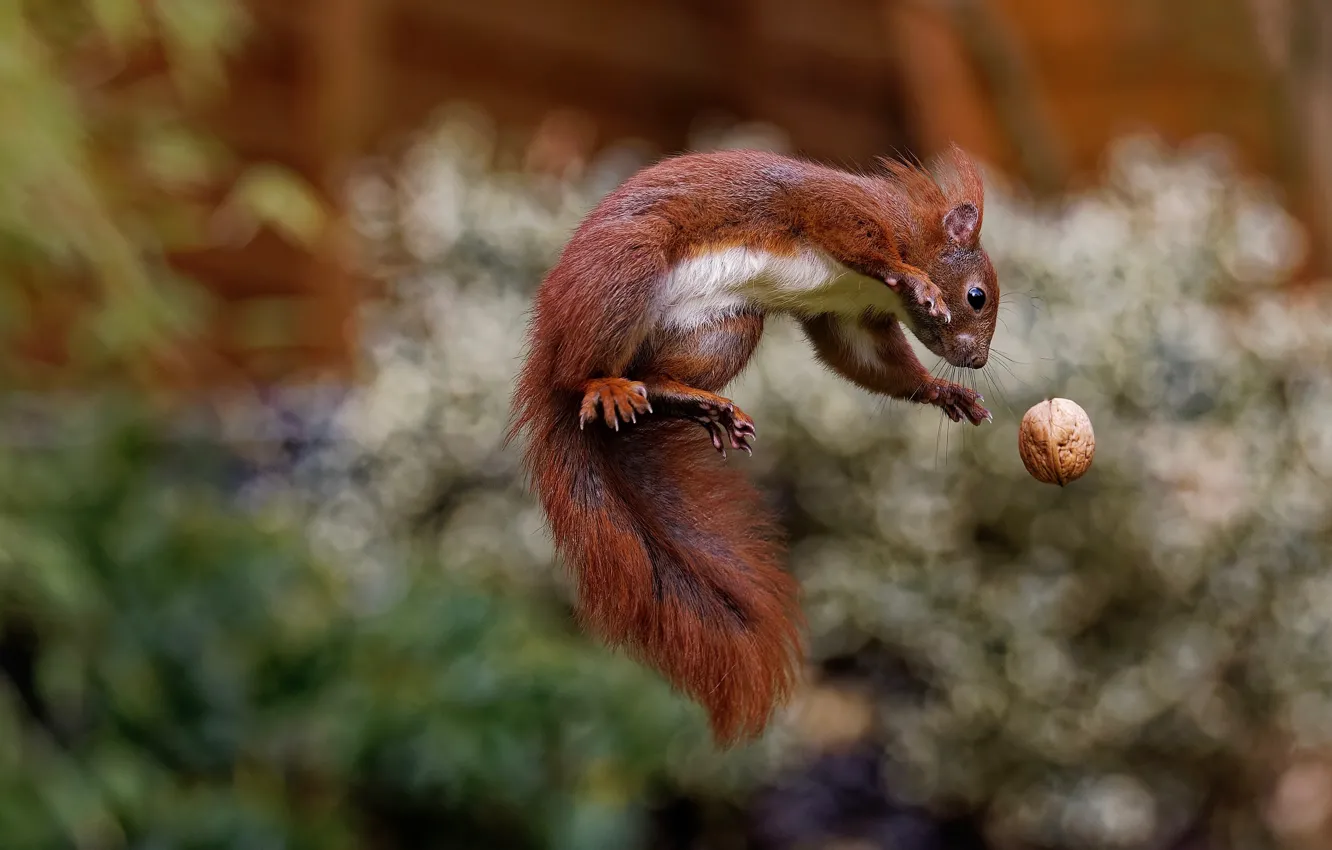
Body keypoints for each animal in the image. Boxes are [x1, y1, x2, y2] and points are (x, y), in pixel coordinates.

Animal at [508, 144, 998, 746]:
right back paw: (601, 384)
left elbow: (864, 358)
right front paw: (916, 280)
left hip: (727, 327)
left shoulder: (847, 315)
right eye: (976, 296)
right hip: (625, 274)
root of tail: (552, 335)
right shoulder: (845, 209)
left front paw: (943, 391)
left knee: (653, 377)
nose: (976, 361)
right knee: (578, 372)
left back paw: (697, 404)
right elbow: (854, 236)